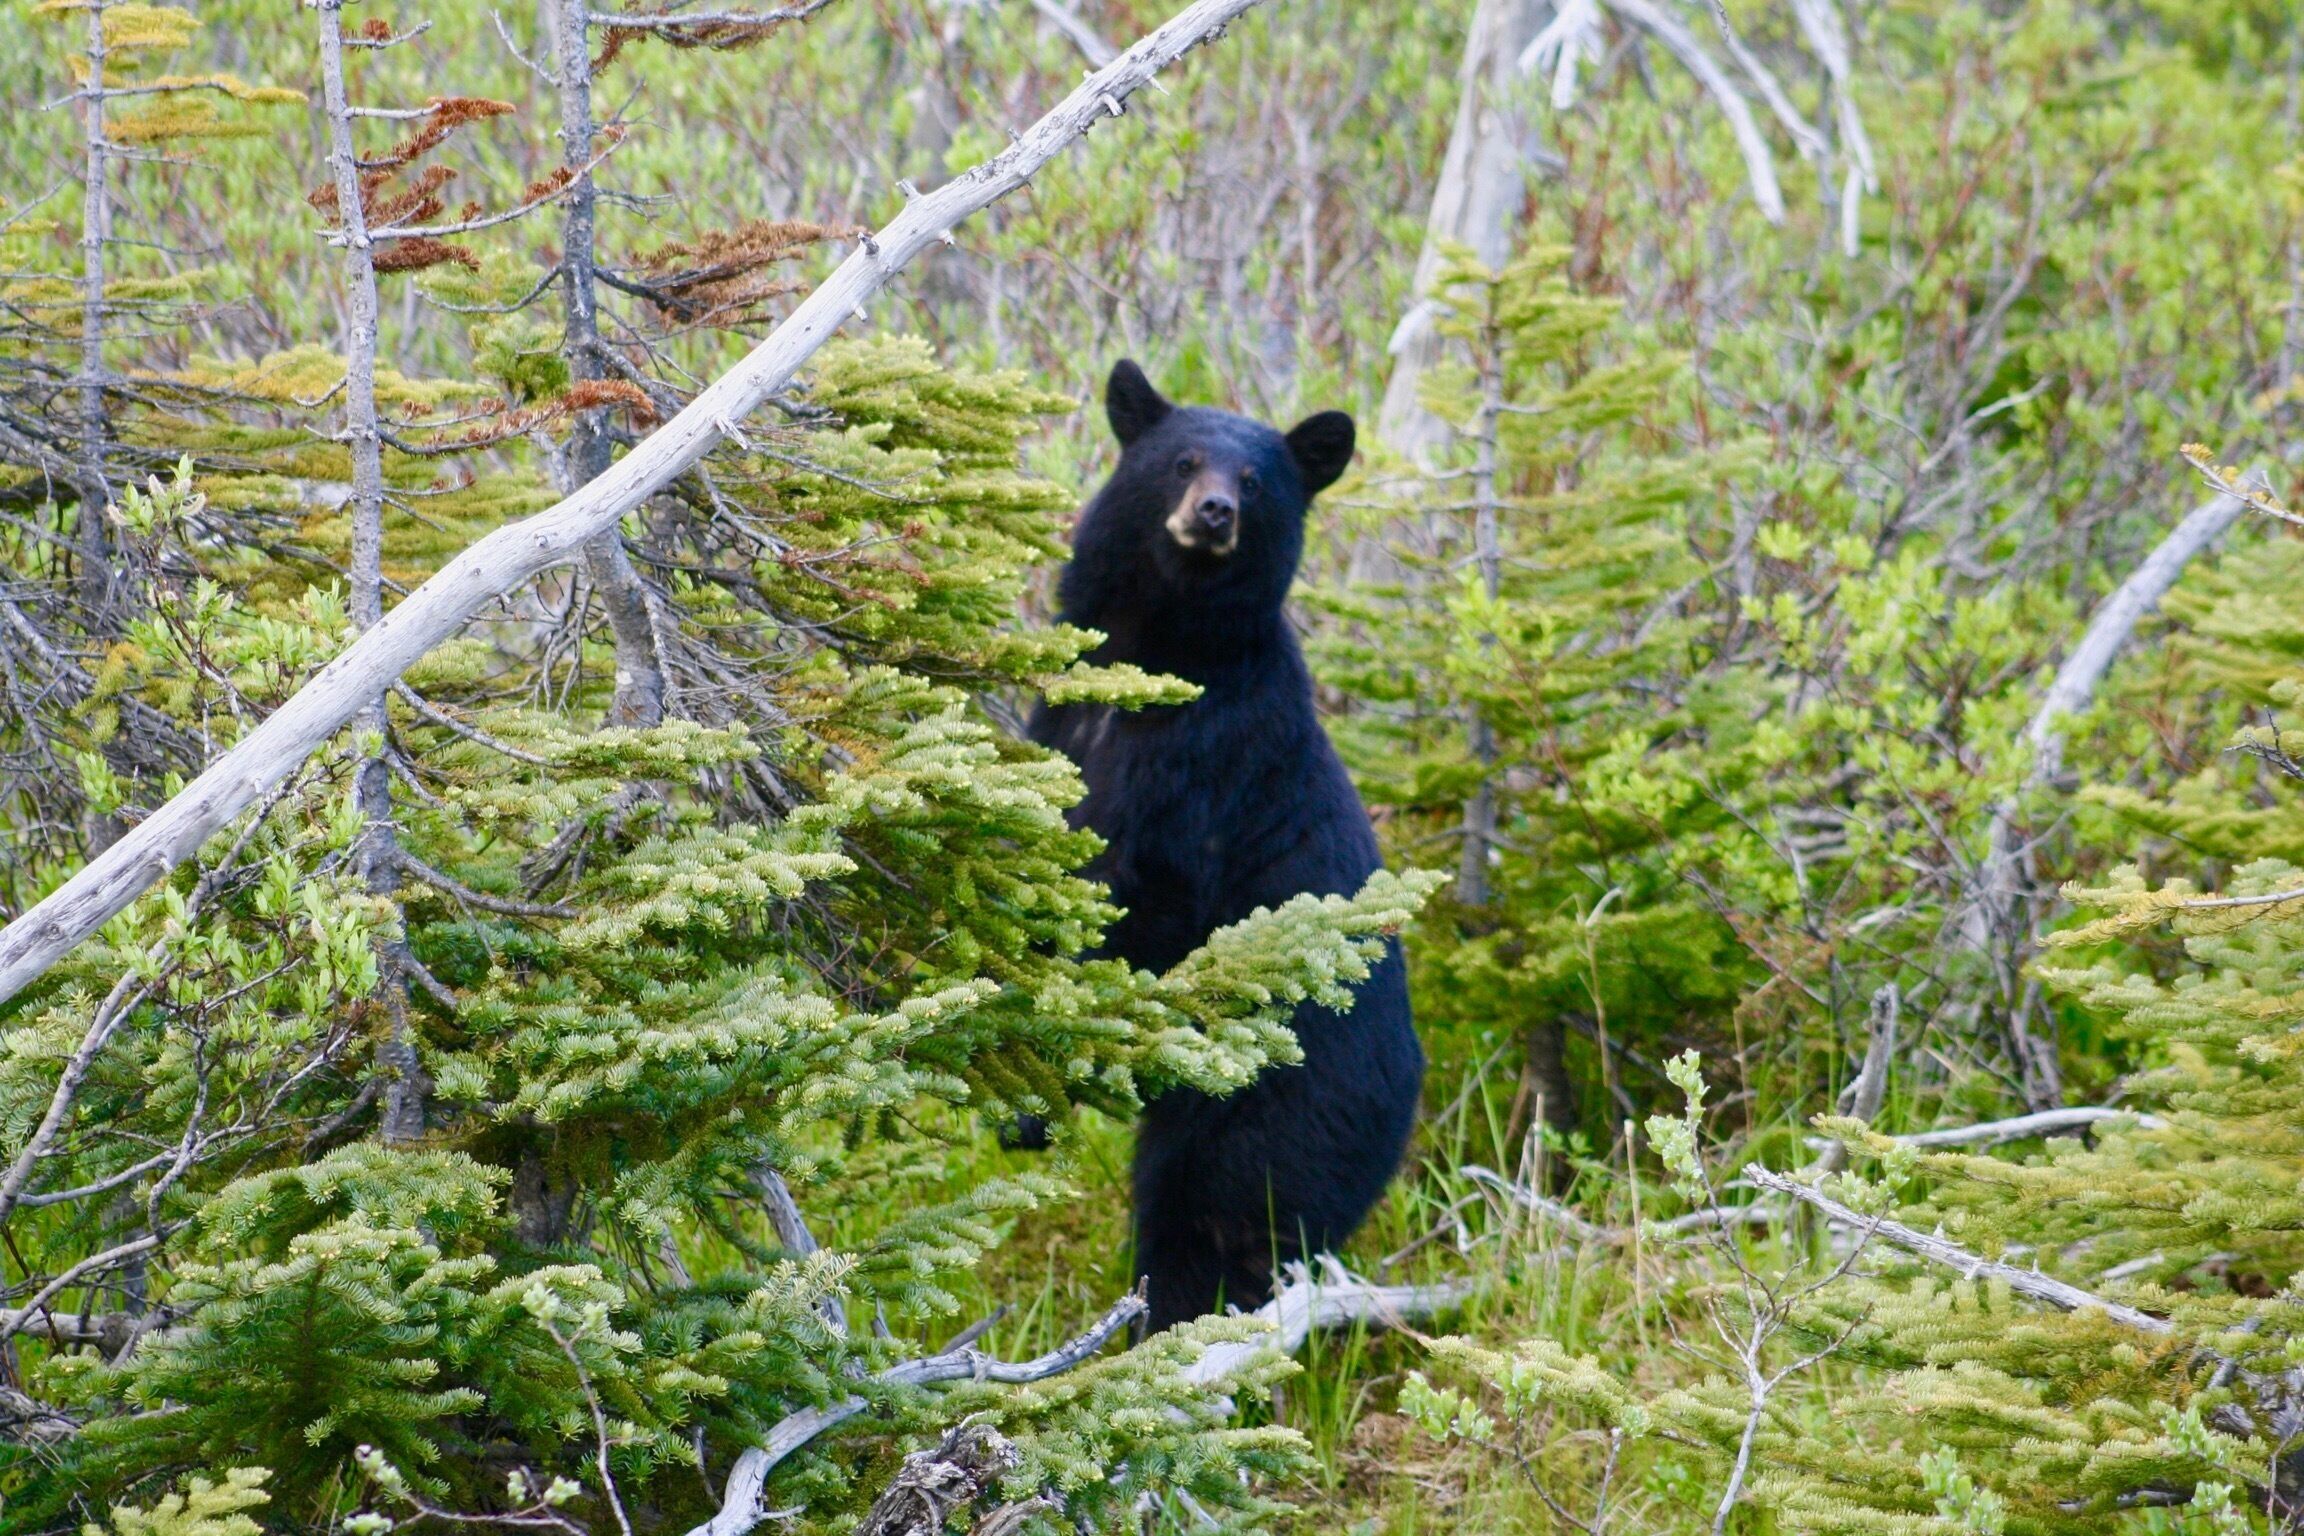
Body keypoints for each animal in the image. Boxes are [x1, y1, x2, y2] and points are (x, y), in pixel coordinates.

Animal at [1027, 359, 1423, 1332]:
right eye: (1181, 461)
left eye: (1256, 482)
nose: (1213, 512)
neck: (1155, 663)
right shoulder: (1063, 724)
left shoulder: (1208, 776)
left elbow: (1148, 907)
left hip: (1264, 1121)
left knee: (1205, 1230)